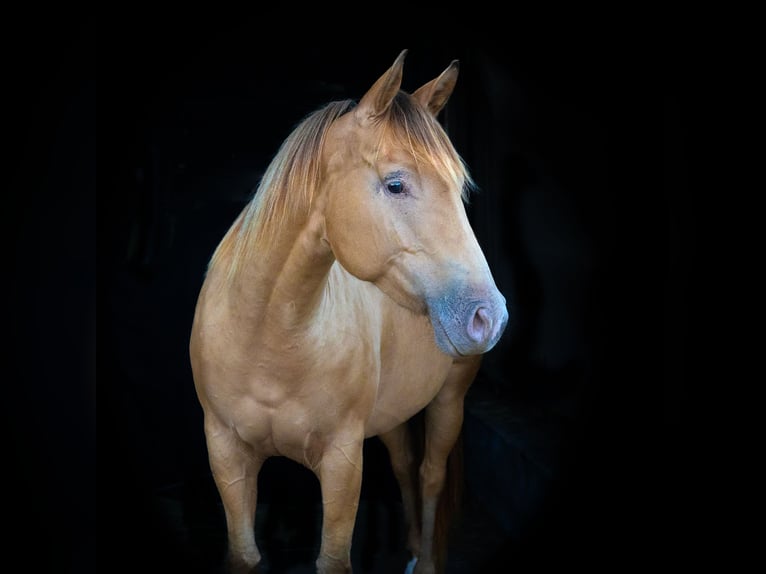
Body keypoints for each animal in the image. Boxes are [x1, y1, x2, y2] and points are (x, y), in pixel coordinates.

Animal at [189, 49, 508, 574]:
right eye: (395, 184)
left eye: (460, 188)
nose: (490, 317)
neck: (267, 338)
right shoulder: (225, 452)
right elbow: (245, 553)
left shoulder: (342, 461)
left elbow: (334, 559)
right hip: (394, 412)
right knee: (404, 466)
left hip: (450, 400)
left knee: (430, 474)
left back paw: (425, 561)